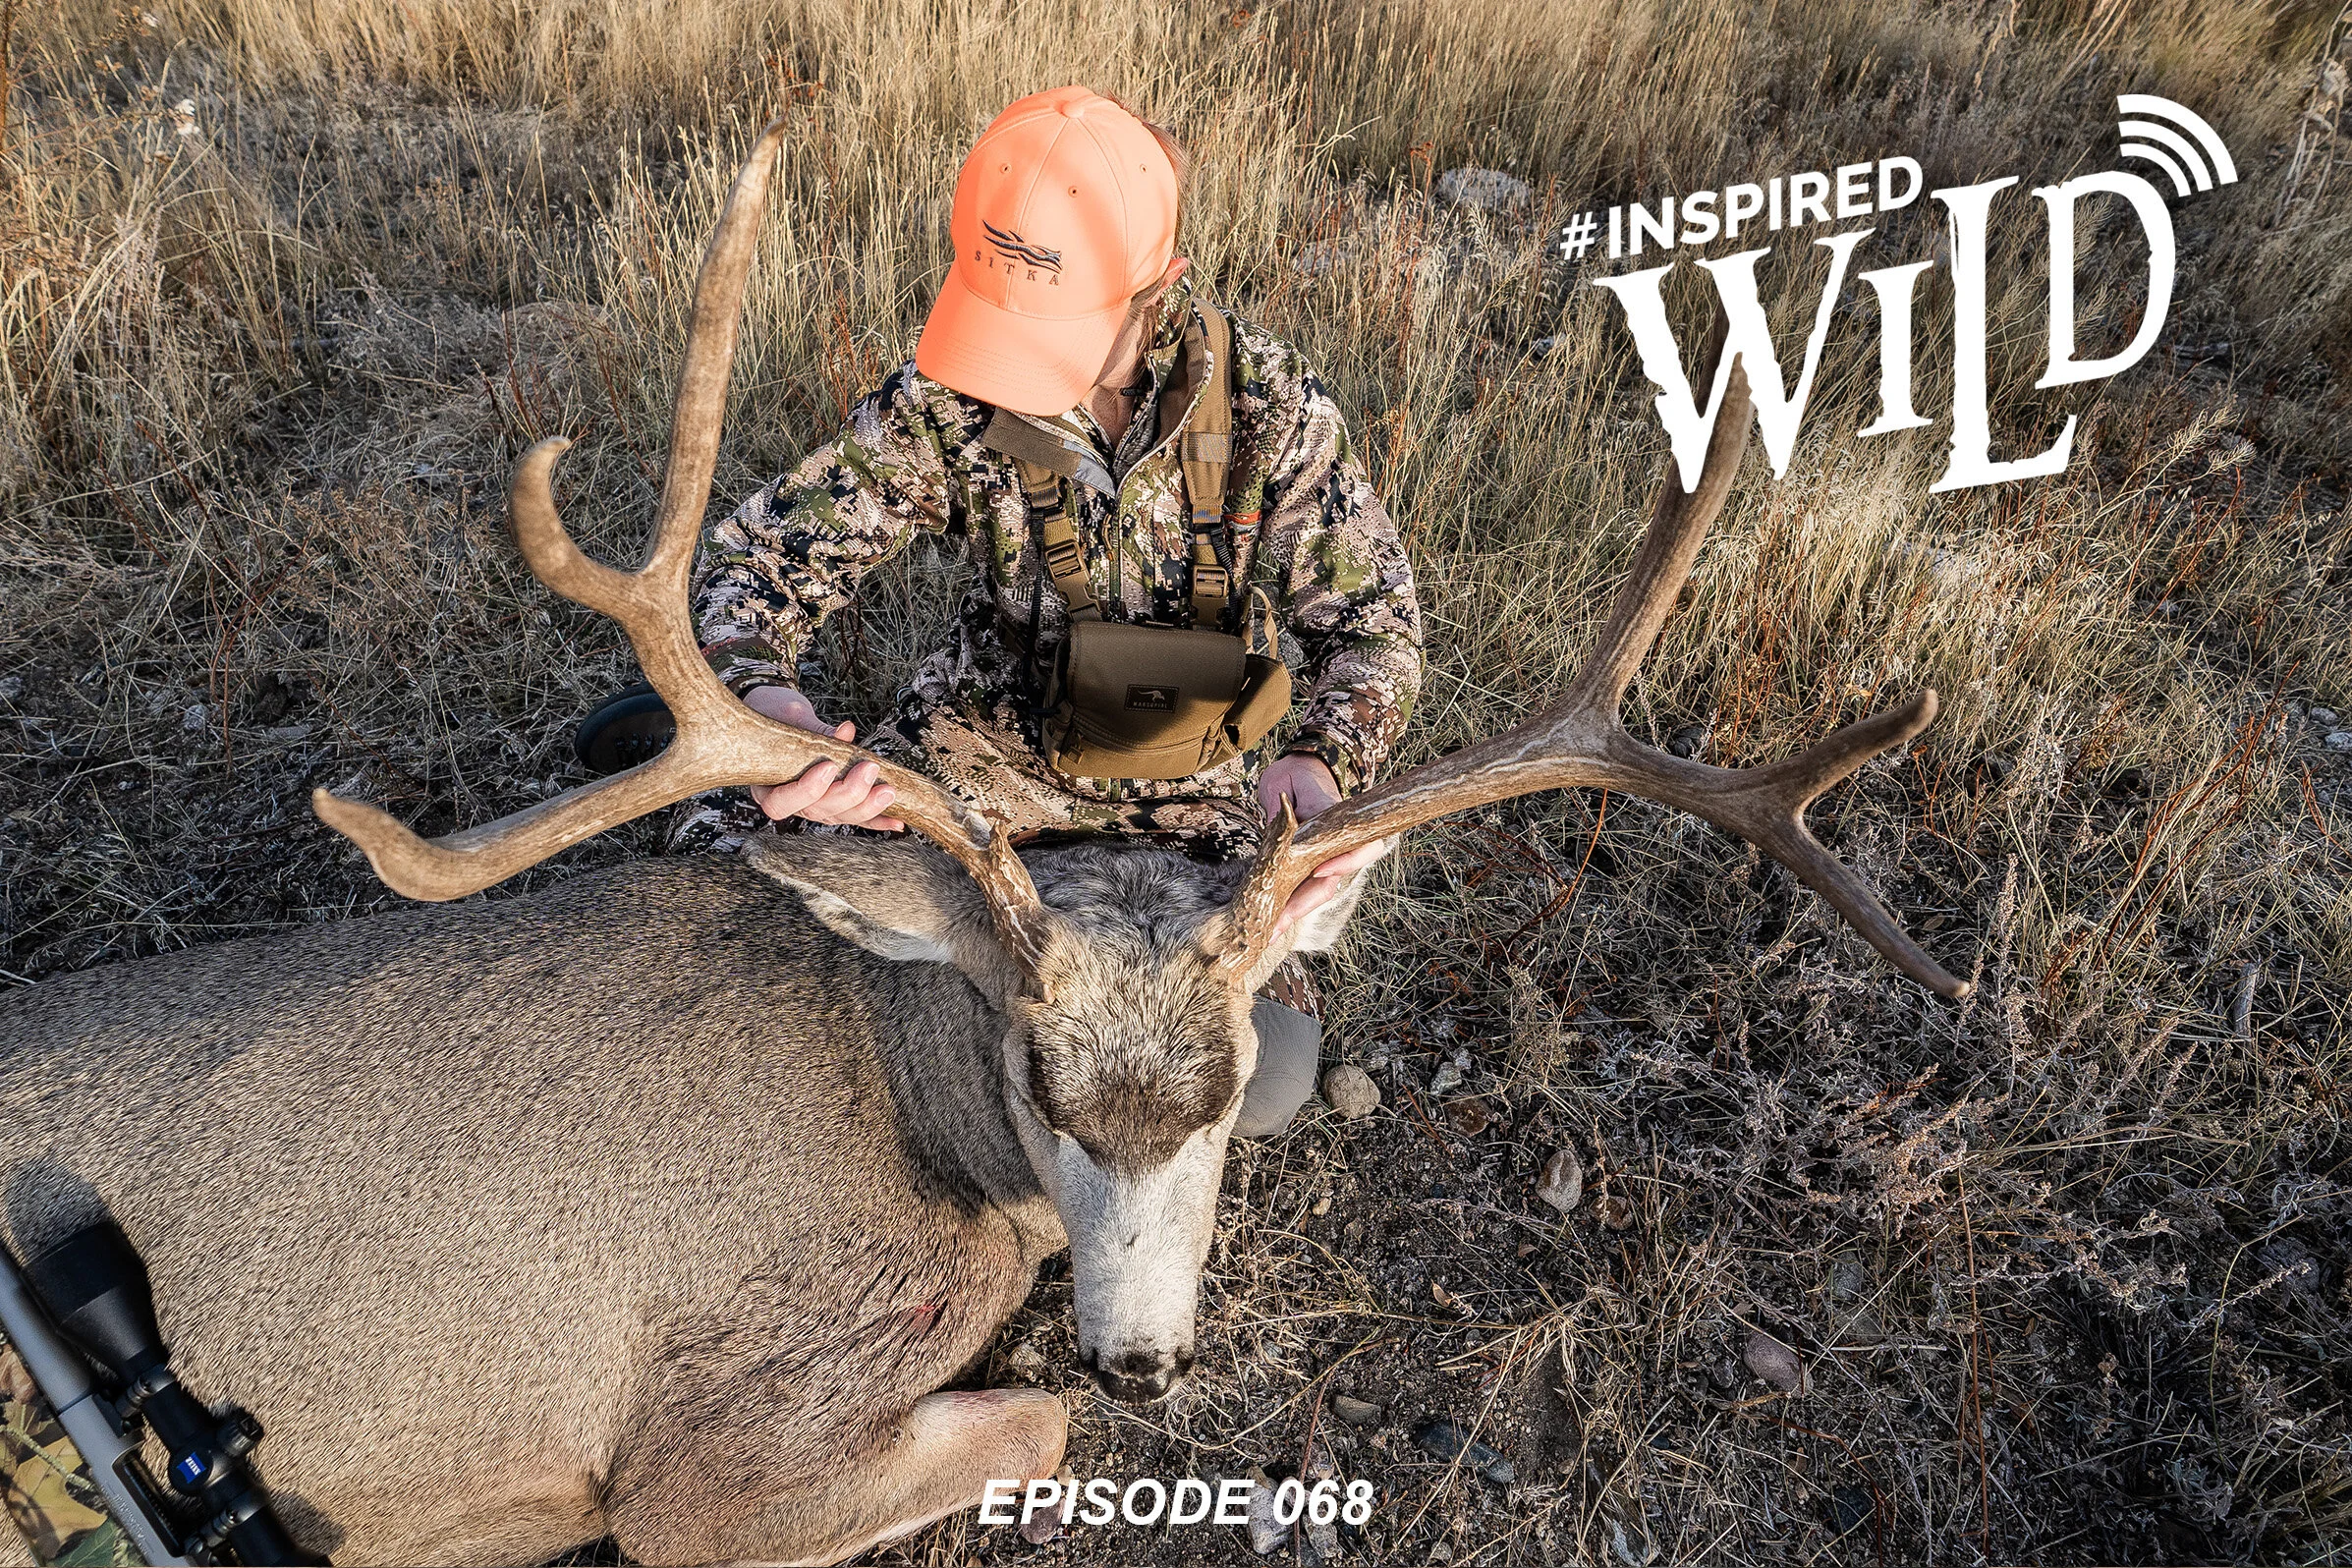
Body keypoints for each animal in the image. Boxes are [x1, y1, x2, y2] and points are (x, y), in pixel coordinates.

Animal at [0, 123, 1969, 1568]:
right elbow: (1020, 1413)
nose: (1147, 1360)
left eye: (1229, 1082)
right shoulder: (700, 1462)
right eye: (1034, 1074)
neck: (911, 1096)